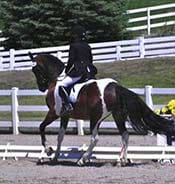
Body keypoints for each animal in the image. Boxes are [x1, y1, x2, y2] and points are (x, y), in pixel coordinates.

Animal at [29, 52, 175, 166]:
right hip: (116, 115)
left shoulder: (54, 113)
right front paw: (54, 157)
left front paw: (48, 150)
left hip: (95, 118)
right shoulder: (65, 116)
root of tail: (115, 86)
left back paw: (82, 160)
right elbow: (60, 136)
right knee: (125, 135)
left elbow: (41, 127)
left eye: (35, 70)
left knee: (95, 138)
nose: (41, 88)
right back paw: (122, 160)